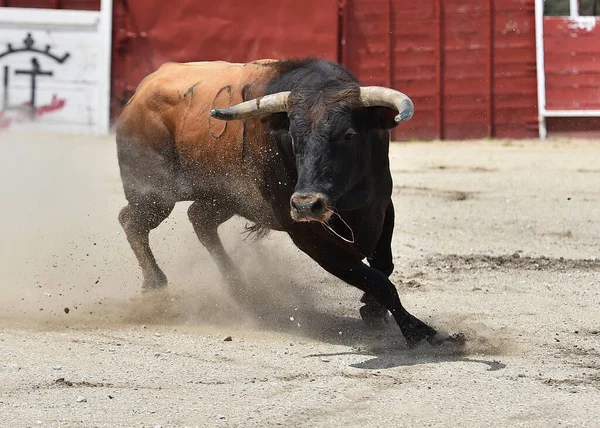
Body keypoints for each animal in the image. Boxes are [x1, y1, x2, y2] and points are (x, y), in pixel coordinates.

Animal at [115, 57, 458, 348]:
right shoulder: (306, 234)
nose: (307, 205)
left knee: (198, 218)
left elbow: (383, 266)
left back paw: (241, 290)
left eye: (349, 135)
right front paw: (419, 331)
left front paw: (372, 311)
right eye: (293, 137)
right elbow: (374, 278)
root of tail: (141, 90)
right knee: (132, 220)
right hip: (154, 194)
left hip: (224, 197)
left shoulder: (382, 207)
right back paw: (156, 286)